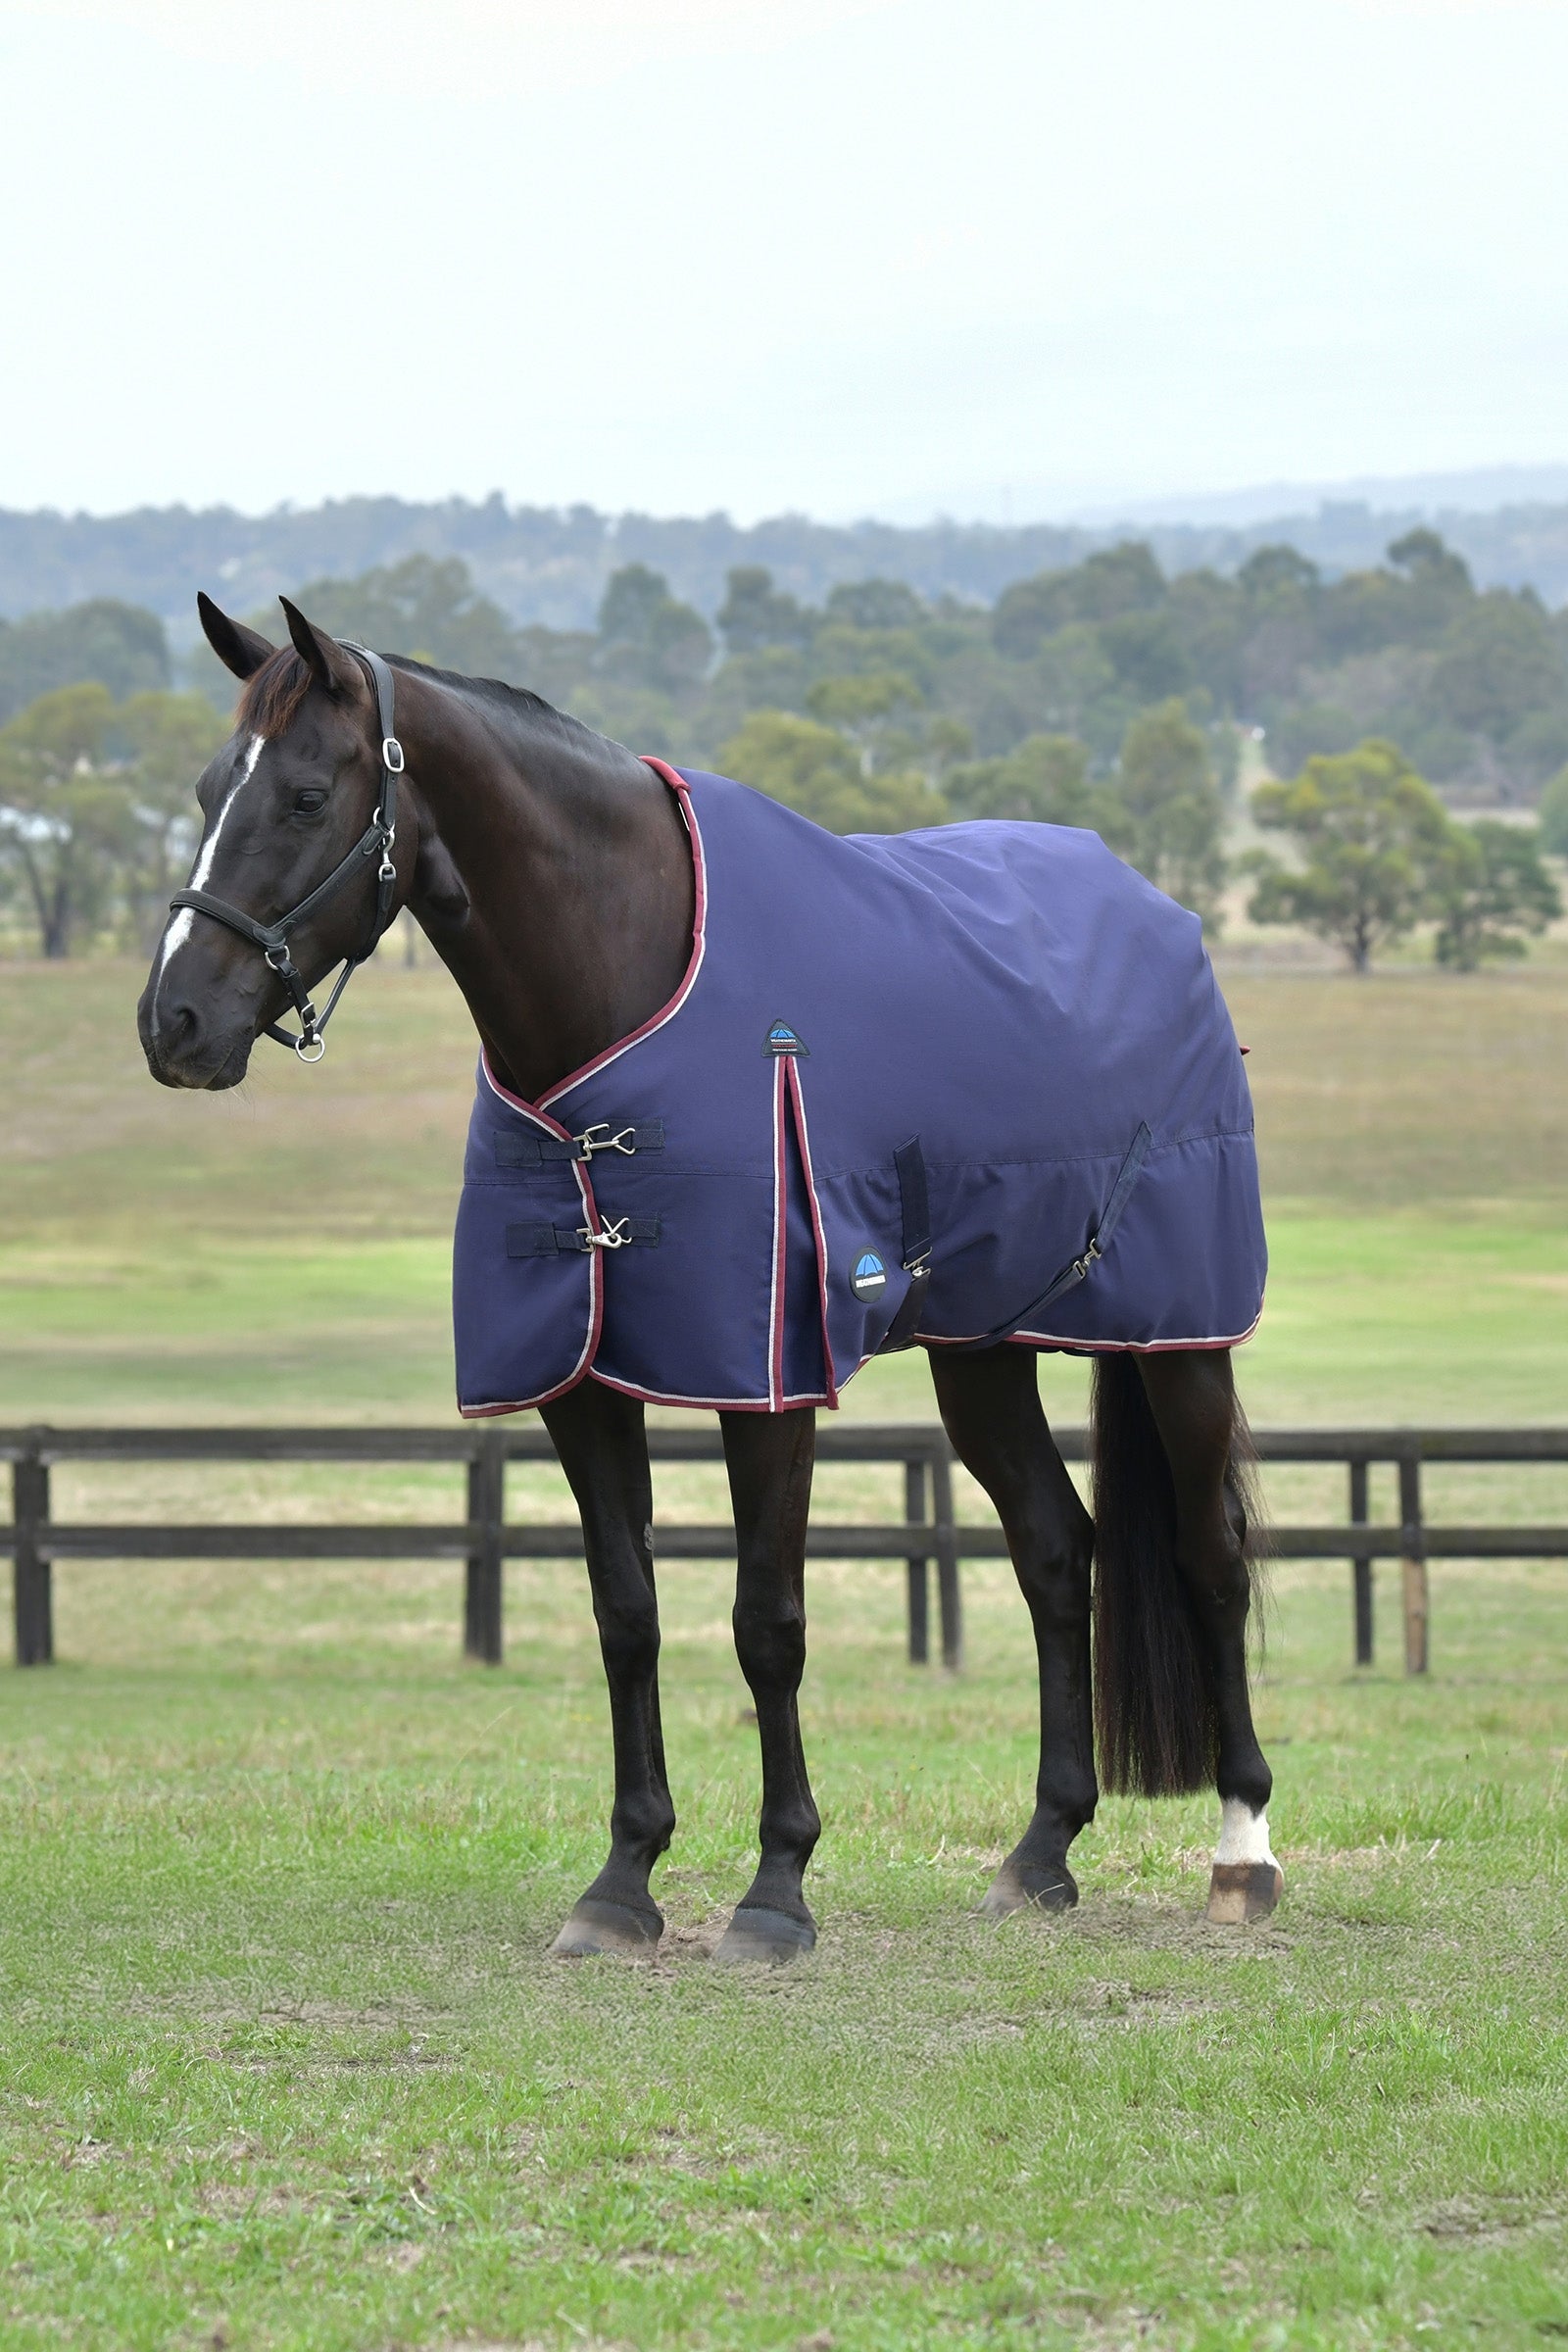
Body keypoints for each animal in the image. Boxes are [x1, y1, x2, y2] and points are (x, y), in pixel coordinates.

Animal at [137, 593, 1281, 1965]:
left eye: (307, 795)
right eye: (210, 788)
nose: (173, 1024)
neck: (622, 990)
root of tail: (1157, 916)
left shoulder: (765, 1378)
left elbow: (765, 1623)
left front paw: (775, 1888)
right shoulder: (577, 1381)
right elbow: (626, 1614)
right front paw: (622, 1881)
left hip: (1181, 1341)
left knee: (1211, 1555)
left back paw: (1243, 1853)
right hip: (982, 1350)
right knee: (1058, 1554)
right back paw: (1040, 1852)